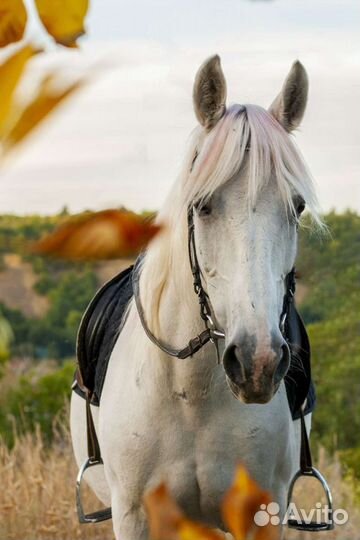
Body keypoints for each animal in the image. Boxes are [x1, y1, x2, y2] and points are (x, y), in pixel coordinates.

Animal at [69, 52, 320, 536]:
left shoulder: (258, 515)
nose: (258, 363)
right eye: (202, 205)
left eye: (296, 207)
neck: (192, 393)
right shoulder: (135, 516)